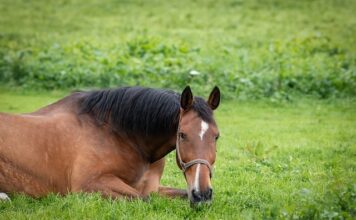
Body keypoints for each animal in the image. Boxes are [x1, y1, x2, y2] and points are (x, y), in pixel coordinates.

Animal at [0, 86, 220, 205]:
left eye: (217, 136)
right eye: (182, 135)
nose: (202, 193)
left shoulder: (153, 188)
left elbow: (175, 194)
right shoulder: (90, 184)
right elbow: (144, 199)